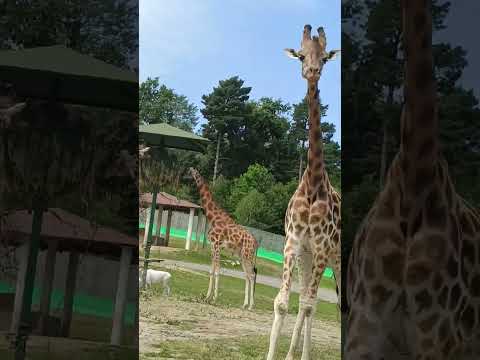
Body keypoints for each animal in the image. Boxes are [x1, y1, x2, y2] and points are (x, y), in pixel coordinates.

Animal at [189, 167, 260, 310]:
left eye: (192, 172)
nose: (189, 171)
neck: (213, 218)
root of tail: (255, 242)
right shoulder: (214, 246)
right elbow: (211, 271)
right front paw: (207, 297)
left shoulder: (216, 244)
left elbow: (217, 271)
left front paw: (214, 298)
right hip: (242, 255)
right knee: (247, 275)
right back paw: (244, 304)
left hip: (247, 254)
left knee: (252, 274)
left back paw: (251, 306)